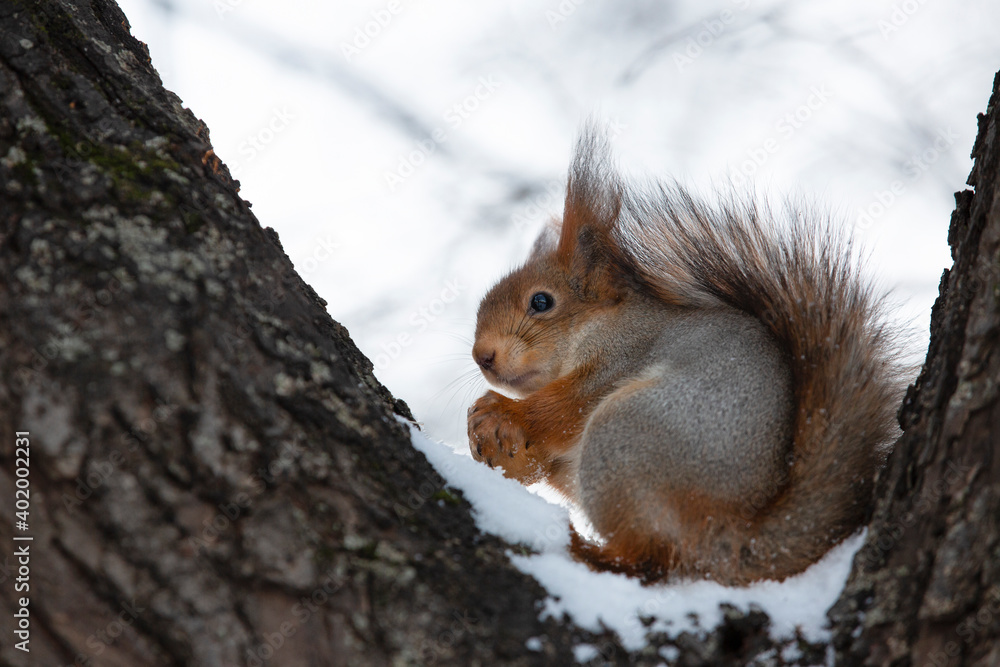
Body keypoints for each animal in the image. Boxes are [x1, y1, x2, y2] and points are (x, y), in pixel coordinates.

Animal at [467, 129, 907, 585]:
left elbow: (566, 407)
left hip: (624, 437)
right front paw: (501, 448)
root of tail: (728, 530)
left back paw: (586, 549)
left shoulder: (621, 357)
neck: (597, 325)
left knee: (649, 557)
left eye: (541, 301)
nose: (482, 355)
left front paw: (503, 410)